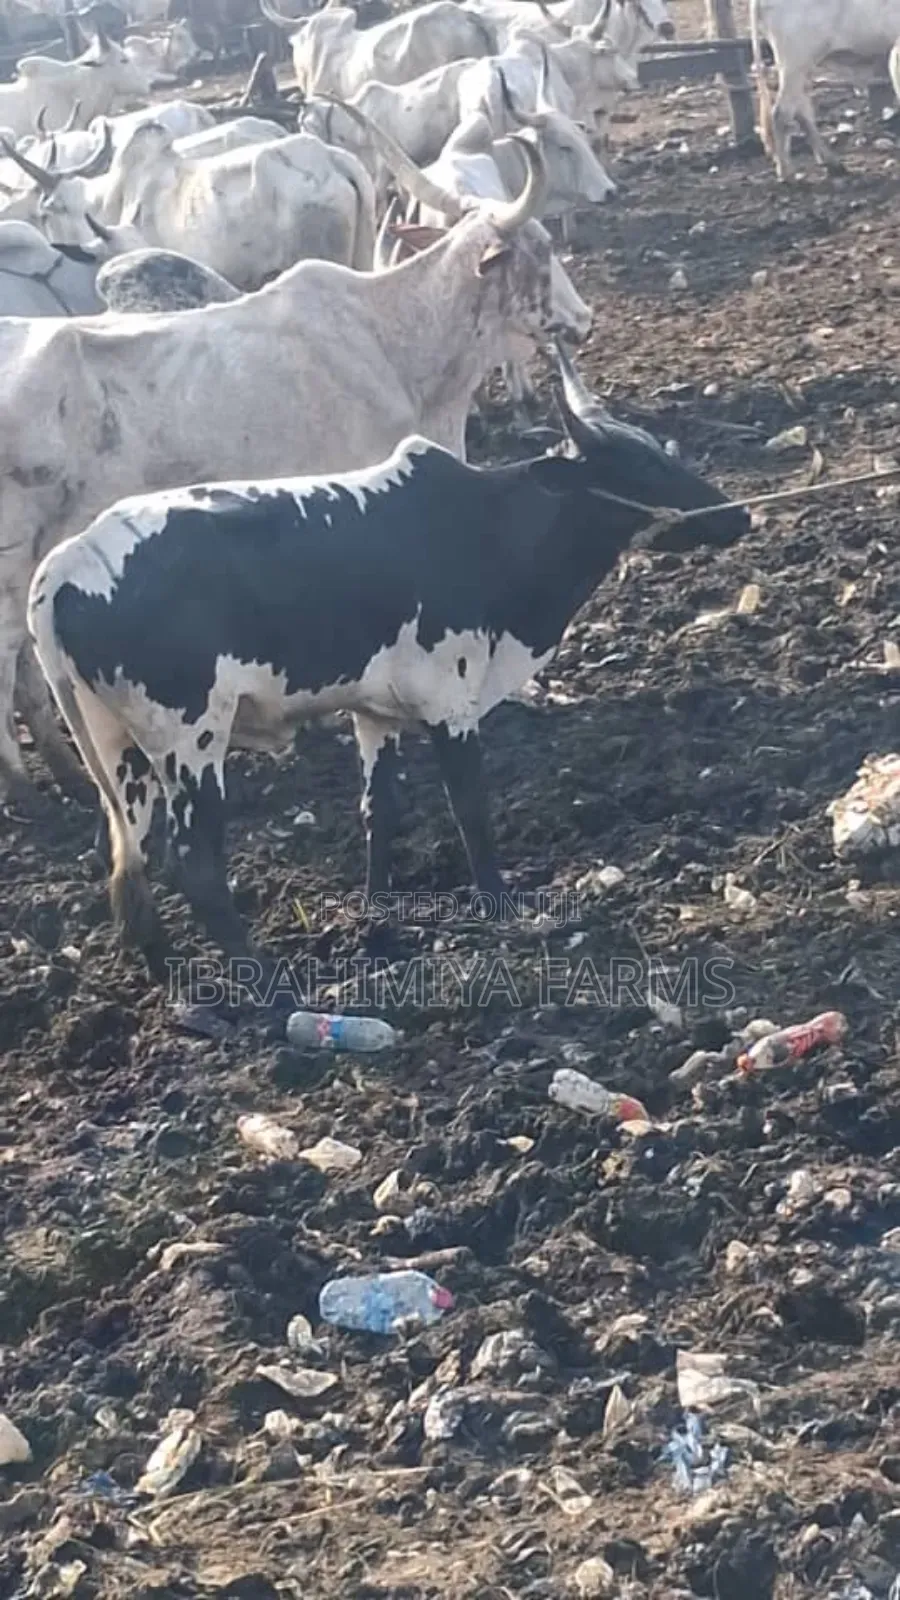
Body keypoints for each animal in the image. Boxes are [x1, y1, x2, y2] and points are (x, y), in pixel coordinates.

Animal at [26, 347, 748, 978]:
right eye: (638, 468)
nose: (738, 516)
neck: (483, 529)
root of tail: (68, 562)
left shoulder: (375, 711)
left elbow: (382, 812)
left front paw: (379, 918)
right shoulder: (451, 701)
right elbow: (470, 807)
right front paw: (500, 906)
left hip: (119, 746)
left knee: (132, 853)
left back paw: (167, 972)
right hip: (191, 739)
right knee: (193, 861)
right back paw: (261, 982)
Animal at [750, 0, 900, 180]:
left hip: (802, 68)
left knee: (802, 112)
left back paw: (831, 163)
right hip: (795, 62)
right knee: (782, 113)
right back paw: (787, 173)